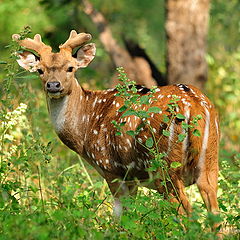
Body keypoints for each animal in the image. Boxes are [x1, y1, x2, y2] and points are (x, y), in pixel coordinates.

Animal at [12, 30, 219, 219]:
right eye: (40, 70)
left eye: (70, 68)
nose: (53, 85)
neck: (85, 129)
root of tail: (195, 106)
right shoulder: (132, 179)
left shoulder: (111, 168)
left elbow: (119, 217)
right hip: (209, 161)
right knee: (215, 214)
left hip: (164, 166)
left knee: (187, 214)